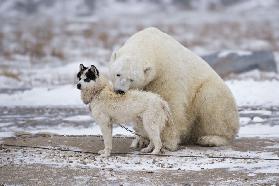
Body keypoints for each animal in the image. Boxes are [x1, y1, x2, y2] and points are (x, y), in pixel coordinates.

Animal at [109, 27, 241, 150]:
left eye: (132, 79)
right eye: (118, 74)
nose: (120, 91)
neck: (151, 44)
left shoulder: (166, 74)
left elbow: (170, 105)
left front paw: (166, 143)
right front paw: (141, 140)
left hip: (214, 93)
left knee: (212, 103)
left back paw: (211, 139)